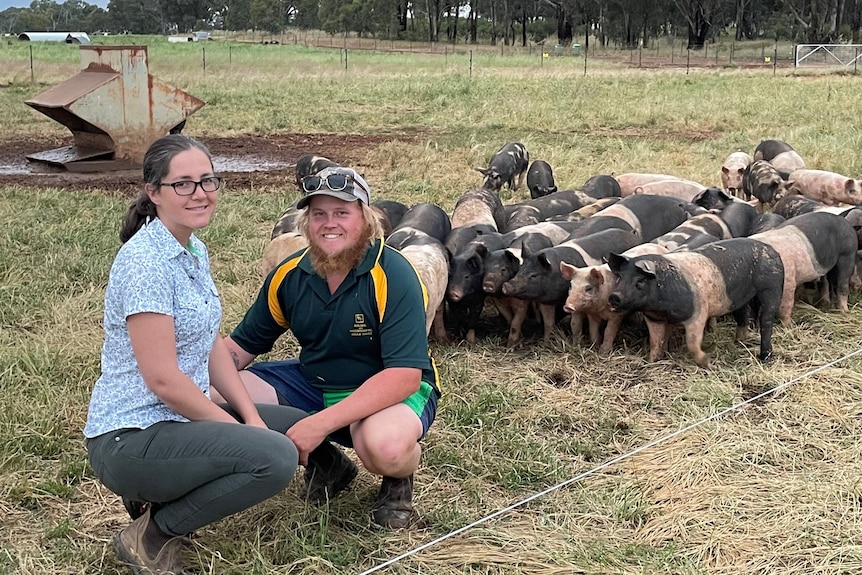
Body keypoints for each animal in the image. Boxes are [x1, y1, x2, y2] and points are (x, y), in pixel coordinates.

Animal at [608, 240, 788, 368]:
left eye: (640, 280)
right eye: (620, 277)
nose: (614, 297)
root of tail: (774, 251)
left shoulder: (698, 312)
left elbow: (692, 343)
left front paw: (709, 363)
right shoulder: (654, 318)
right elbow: (655, 342)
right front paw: (651, 362)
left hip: (772, 287)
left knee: (766, 320)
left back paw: (764, 357)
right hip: (742, 297)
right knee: (743, 316)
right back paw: (738, 342)